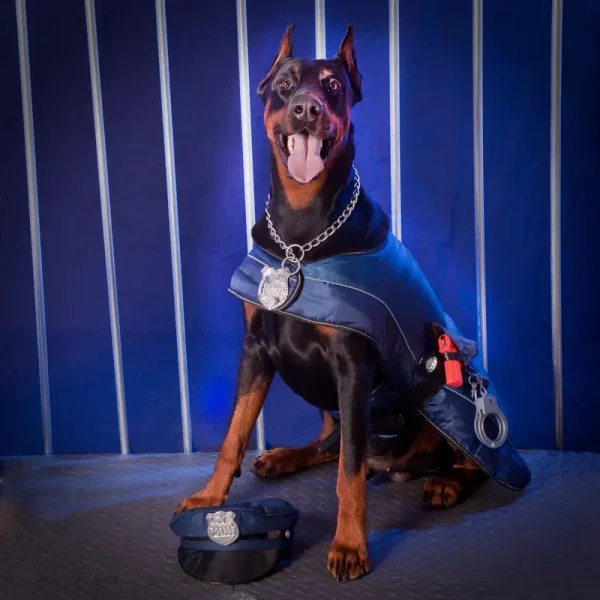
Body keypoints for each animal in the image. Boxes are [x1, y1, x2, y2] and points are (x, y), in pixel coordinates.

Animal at [175, 24, 488, 580]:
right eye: (284, 85)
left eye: (333, 85)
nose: (307, 108)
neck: (302, 235)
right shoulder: (255, 349)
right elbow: (234, 433)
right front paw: (210, 496)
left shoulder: (352, 367)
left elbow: (350, 472)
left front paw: (348, 545)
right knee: (331, 443)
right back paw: (286, 456)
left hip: (447, 388)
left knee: (453, 459)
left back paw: (447, 482)